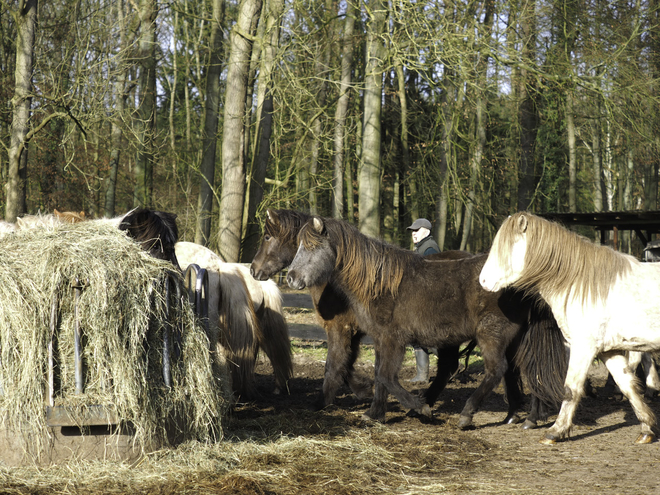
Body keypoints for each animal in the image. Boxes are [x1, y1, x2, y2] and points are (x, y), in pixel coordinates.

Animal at [250, 210, 476, 414]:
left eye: (267, 237)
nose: (253, 270)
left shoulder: (341, 328)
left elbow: (334, 365)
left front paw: (322, 402)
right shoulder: (358, 333)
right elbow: (349, 365)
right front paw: (366, 390)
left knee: (446, 367)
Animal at [284, 215, 568, 428]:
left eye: (311, 247)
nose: (291, 278)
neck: (380, 284)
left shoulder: (392, 339)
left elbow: (385, 376)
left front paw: (420, 408)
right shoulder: (380, 339)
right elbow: (379, 375)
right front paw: (375, 414)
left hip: (491, 334)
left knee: (496, 370)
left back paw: (467, 415)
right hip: (516, 337)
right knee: (528, 369)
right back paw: (528, 418)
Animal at [476, 211, 660, 444]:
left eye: (508, 245)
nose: (483, 280)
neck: (581, 284)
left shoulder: (583, 348)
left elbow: (571, 388)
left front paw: (556, 431)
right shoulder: (609, 350)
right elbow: (628, 386)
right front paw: (647, 429)